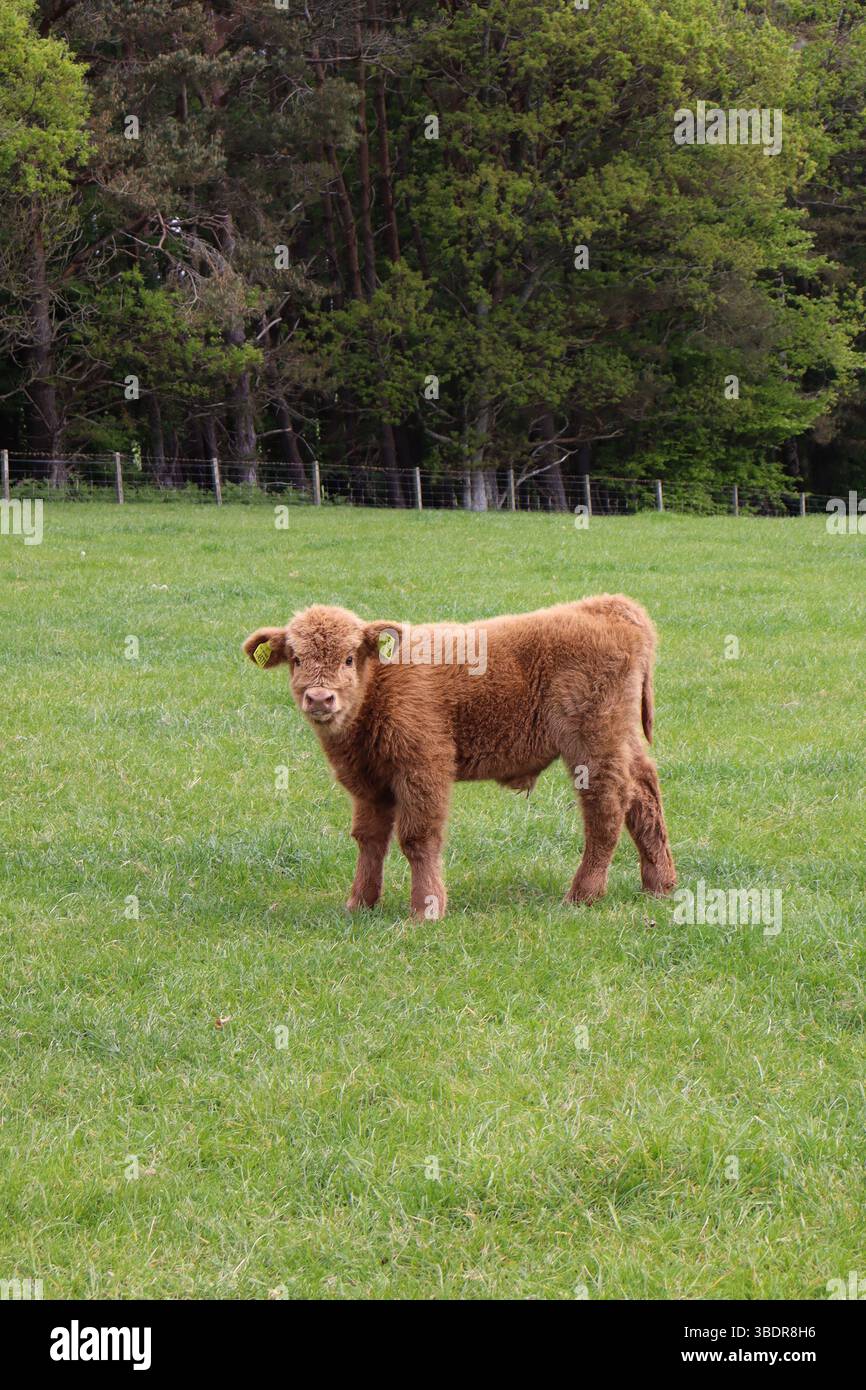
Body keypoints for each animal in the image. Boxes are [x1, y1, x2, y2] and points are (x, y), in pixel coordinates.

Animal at [243, 596, 676, 919]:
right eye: (296, 658)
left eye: (349, 658)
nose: (319, 698)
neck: (380, 685)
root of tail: (606, 606)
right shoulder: (368, 783)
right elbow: (369, 839)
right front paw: (360, 903)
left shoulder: (423, 768)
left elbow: (418, 838)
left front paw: (426, 909)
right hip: (622, 740)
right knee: (643, 794)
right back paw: (659, 883)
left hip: (593, 745)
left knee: (606, 808)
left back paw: (583, 894)